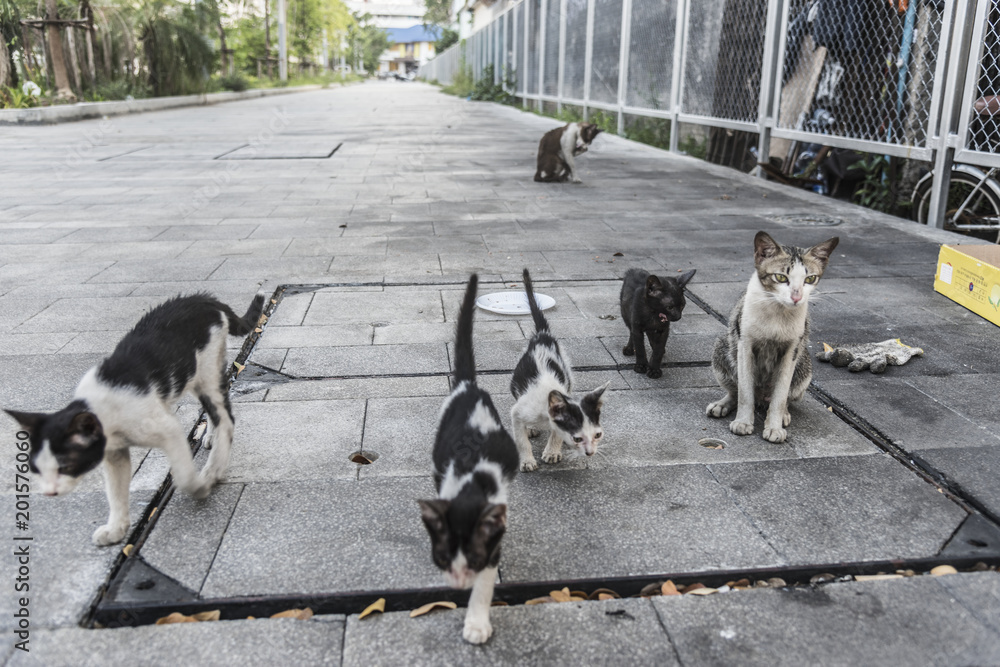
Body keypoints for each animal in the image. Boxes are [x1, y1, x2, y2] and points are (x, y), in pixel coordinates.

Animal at [5, 294, 264, 544]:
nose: (49, 492)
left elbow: (182, 474)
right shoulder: (114, 453)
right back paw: (211, 436)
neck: (101, 407)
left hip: (207, 371)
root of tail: (204, 298)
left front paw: (199, 487)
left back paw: (214, 468)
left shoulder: (168, 429)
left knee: (226, 418)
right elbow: (116, 491)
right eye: (35, 469)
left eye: (65, 466)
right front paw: (116, 529)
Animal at [418, 274, 520, 644]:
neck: (472, 483)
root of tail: (468, 386)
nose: (460, 584)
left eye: (473, 559)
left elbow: (487, 581)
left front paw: (476, 622)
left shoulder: (492, 542)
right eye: (443, 557)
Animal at [508, 268, 608, 472]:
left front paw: (553, 451)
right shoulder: (517, 412)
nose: (590, 453)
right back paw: (530, 429)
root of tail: (542, 335)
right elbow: (520, 439)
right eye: (577, 438)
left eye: (597, 435)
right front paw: (527, 460)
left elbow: (556, 433)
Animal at [708, 232, 840, 446]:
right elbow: (744, 391)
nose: (797, 297)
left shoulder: (792, 350)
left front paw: (774, 426)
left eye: (810, 279)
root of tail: (761, 398)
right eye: (780, 277)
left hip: (804, 364)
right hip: (722, 346)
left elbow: (781, 393)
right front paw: (743, 422)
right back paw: (723, 404)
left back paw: (783, 413)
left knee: (785, 396)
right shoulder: (745, 345)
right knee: (735, 389)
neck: (778, 311)